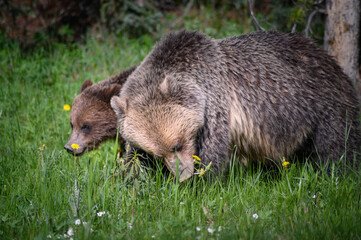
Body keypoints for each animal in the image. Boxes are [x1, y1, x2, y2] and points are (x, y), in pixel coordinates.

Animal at [111, 31, 358, 182]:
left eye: (177, 145)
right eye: (157, 153)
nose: (183, 175)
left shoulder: (215, 105)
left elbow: (212, 155)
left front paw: (199, 184)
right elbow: (134, 160)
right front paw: (132, 180)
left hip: (325, 106)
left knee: (337, 148)